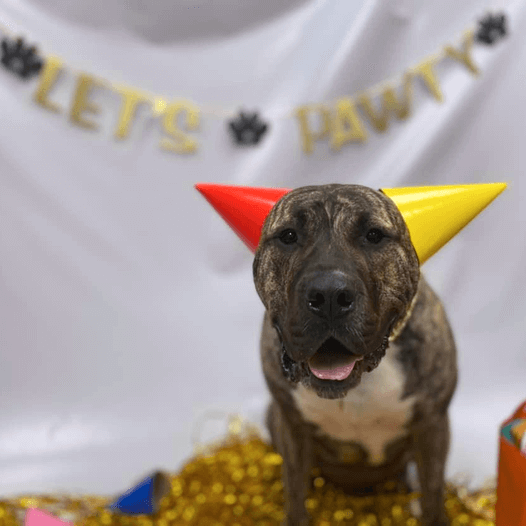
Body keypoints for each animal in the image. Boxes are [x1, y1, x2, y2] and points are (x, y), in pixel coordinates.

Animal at [255, 184, 458, 524]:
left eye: (374, 235)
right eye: (288, 235)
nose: (329, 295)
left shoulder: (433, 425)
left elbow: (432, 494)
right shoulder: (292, 426)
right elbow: (294, 492)